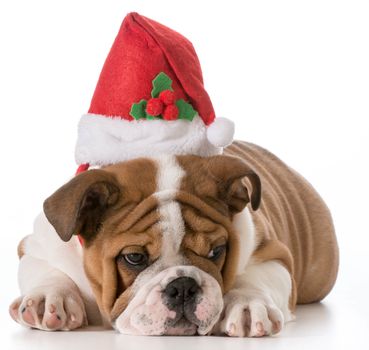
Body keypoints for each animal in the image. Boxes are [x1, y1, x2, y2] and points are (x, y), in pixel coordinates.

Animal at [8, 142, 338, 336]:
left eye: (217, 251)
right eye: (134, 257)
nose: (183, 286)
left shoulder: (271, 252)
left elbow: (257, 277)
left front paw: (246, 303)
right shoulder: (38, 246)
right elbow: (46, 271)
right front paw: (49, 299)